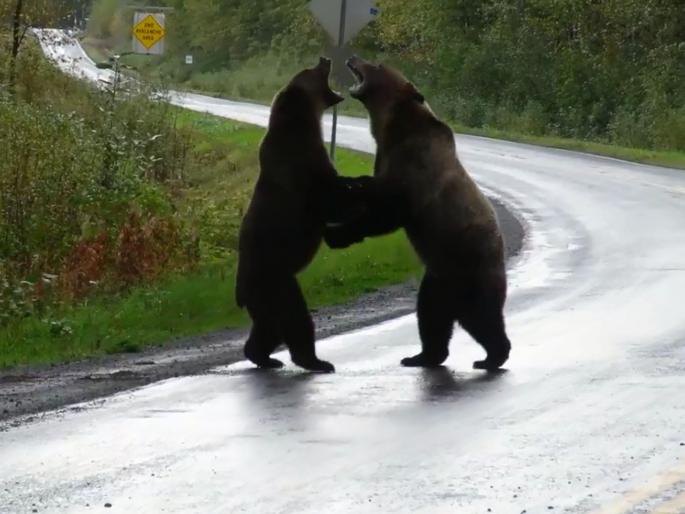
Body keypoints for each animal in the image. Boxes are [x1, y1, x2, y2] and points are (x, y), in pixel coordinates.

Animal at [236, 57, 370, 373]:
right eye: (310, 70)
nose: (325, 58)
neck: (303, 123)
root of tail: (240, 291)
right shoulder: (303, 166)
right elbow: (330, 198)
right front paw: (361, 195)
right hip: (275, 277)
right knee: (294, 318)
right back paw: (315, 360)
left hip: (268, 289)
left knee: (268, 327)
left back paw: (264, 356)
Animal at [325, 56, 511, 370]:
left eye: (378, 64)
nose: (353, 57)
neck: (391, 128)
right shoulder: (386, 159)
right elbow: (373, 193)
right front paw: (348, 187)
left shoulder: (417, 167)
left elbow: (390, 211)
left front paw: (338, 233)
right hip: (436, 280)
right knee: (431, 316)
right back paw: (422, 356)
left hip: (470, 265)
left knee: (481, 315)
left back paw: (492, 356)